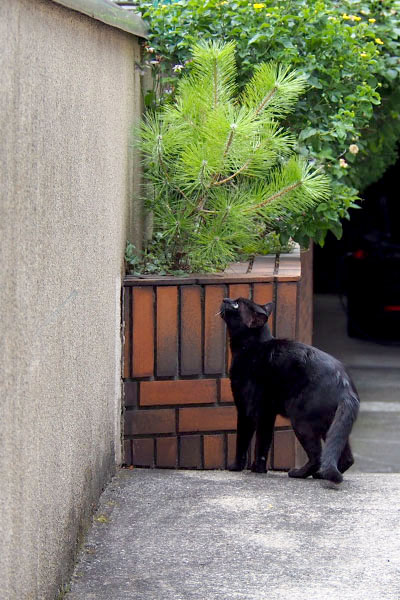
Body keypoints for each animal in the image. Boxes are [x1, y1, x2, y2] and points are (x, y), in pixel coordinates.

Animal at [220, 298, 360, 486]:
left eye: (236, 305)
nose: (225, 299)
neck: (252, 347)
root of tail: (345, 387)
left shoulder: (247, 410)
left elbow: (244, 441)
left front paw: (238, 467)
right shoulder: (267, 413)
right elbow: (263, 442)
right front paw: (259, 469)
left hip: (301, 422)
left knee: (317, 456)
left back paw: (298, 473)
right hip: (330, 424)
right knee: (345, 457)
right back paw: (320, 475)